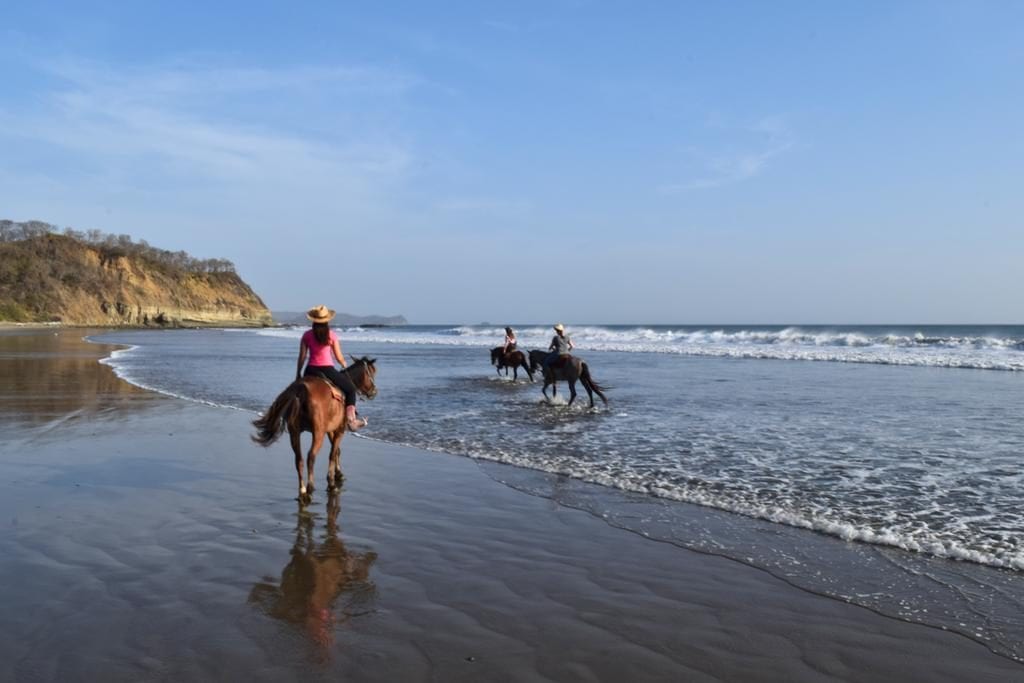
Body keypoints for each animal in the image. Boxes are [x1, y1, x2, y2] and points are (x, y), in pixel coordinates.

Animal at [249, 358, 378, 501]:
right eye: (372, 372)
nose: (374, 391)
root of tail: (300, 390)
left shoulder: (330, 429)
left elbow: (336, 451)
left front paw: (338, 473)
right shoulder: (339, 429)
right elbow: (333, 453)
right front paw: (332, 481)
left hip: (295, 432)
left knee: (298, 459)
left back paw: (302, 490)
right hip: (318, 433)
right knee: (311, 456)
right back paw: (311, 487)